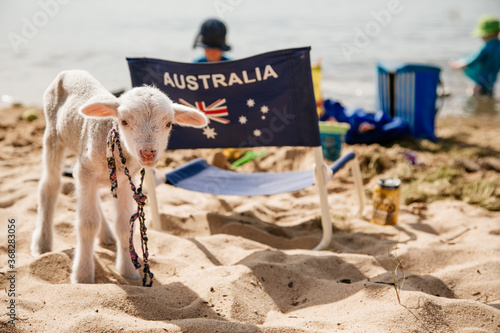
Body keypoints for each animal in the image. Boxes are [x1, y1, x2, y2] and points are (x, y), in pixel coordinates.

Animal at [30, 70, 207, 282]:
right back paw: (42, 243)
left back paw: (106, 235)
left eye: (168, 124)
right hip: (52, 133)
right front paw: (83, 275)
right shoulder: (86, 172)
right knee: (50, 185)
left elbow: (123, 226)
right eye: (124, 122)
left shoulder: (122, 181)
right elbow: (87, 223)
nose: (148, 153)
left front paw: (129, 271)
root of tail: (70, 71)